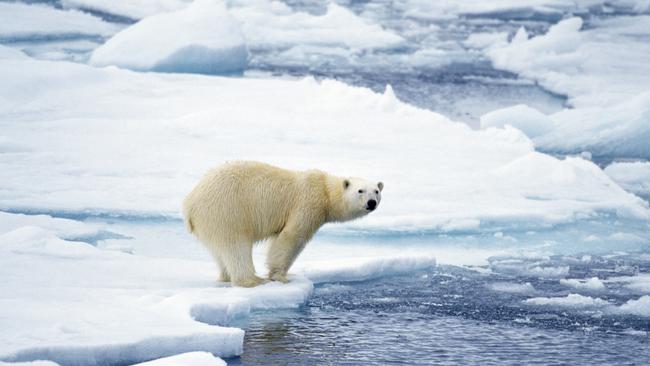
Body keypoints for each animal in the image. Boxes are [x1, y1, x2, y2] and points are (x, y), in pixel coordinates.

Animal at [181, 162, 380, 288]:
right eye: (360, 190)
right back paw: (252, 280)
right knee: (236, 246)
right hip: (227, 210)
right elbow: (291, 237)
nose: (371, 203)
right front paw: (281, 276)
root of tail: (190, 203)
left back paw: (225, 276)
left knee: (219, 251)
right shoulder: (307, 204)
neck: (325, 190)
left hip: (210, 222)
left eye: (376, 191)